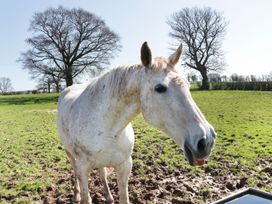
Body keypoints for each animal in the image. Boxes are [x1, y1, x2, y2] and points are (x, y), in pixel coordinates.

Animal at [58, 42, 217, 203]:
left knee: (102, 174)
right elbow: (86, 194)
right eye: (160, 88)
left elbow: (123, 197)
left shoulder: (124, 166)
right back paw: (76, 196)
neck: (108, 129)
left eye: (188, 86)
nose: (206, 141)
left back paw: (108, 197)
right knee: (75, 172)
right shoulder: (83, 169)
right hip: (70, 155)